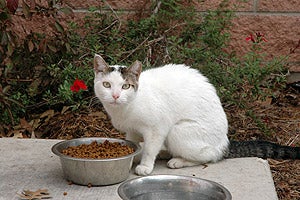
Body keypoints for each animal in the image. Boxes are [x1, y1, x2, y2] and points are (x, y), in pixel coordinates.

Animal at [94, 54, 230, 175]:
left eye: (126, 86)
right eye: (106, 84)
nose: (115, 96)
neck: (124, 109)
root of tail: (224, 142)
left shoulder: (157, 129)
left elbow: (149, 149)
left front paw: (145, 166)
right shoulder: (132, 130)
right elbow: (133, 143)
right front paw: (134, 157)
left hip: (177, 131)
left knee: (209, 156)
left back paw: (178, 161)